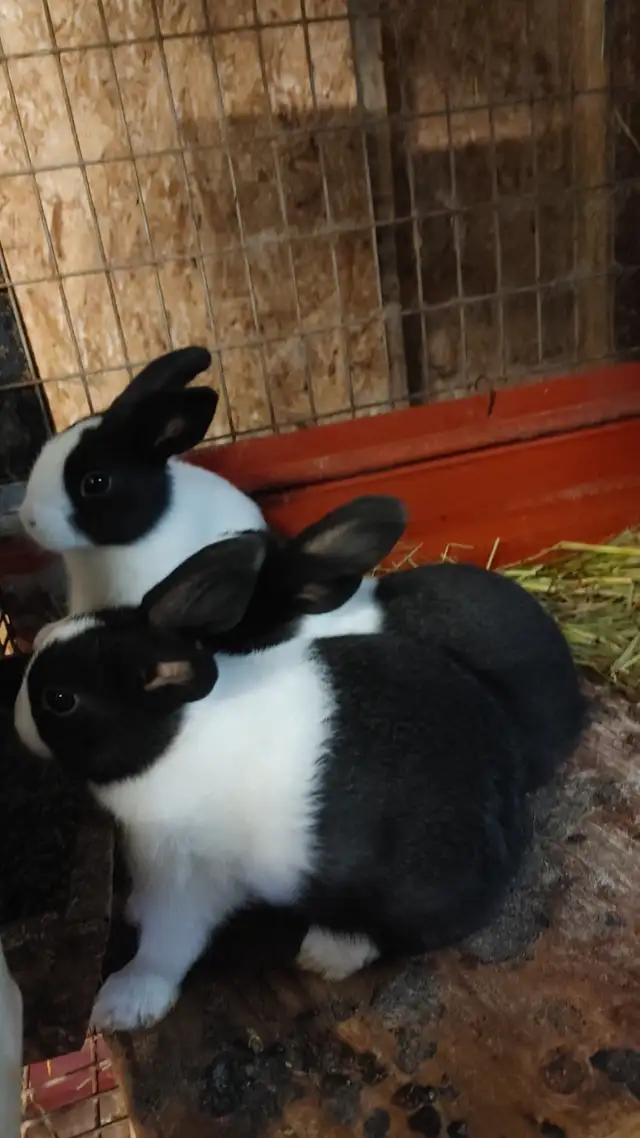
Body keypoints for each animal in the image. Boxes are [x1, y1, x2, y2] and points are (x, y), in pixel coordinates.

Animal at [14, 532, 530, 1033]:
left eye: (60, 699)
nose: (18, 721)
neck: (170, 741)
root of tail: (508, 808)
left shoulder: (186, 878)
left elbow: (166, 945)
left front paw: (122, 1004)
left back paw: (327, 952)